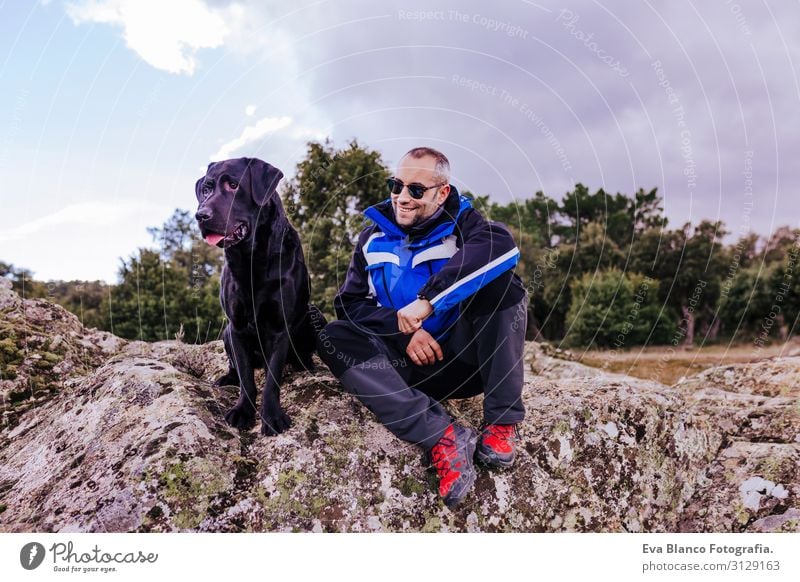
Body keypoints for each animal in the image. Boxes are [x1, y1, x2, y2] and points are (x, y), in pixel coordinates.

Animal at [195, 157, 324, 436]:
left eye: (234, 185)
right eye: (207, 189)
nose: (201, 215)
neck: (251, 257)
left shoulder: (279, 327)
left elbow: (272, 379)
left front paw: (272, 416)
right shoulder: (237, 326)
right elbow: (246, 377)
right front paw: (243, 410)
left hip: (316, 316)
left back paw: (307, 366)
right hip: (226, 333)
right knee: (235, 366)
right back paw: (227, 378)